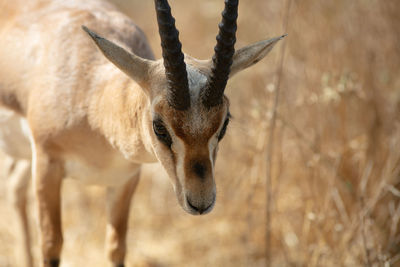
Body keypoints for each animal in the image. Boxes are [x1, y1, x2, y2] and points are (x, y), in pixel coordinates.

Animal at [0, 0, 284, 266]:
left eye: (224, 123)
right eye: (159, 126)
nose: (201, 203)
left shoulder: (125, 179)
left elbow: (116, 249)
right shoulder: (47, 166)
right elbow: (51, 245)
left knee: (14, 184)